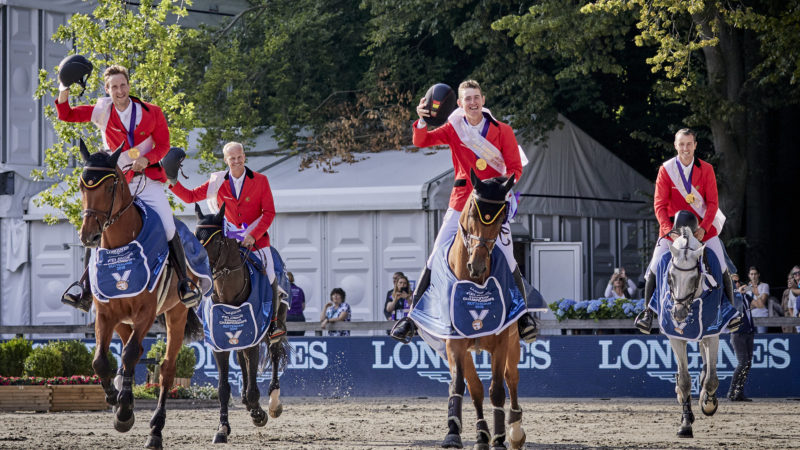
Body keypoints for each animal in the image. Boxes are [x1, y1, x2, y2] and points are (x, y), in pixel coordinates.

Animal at [77, 139, 203, 448]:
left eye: (109, 188)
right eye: (83, 187)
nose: (89, 236)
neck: (119, 247)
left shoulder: (146, 313)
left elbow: (132, 353)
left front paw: (124, 412)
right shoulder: (106, 314)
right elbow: (101, 361)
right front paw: (116, 401)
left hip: (176, 313)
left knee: (166, 369)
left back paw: (155, 430)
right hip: (123, 321)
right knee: (130, 355)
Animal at [194, 206, 290, 444]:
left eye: (217, 240)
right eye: (194, 237)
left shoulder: (253, 340)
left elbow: (254, 389)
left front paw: (259, 414)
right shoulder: (219, 345)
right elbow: (223, 389)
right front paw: (222, 429)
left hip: (275, 326)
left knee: (274, 354)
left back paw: (273, 403)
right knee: (242, 361)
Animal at [438, 171, 524, 448]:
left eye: (501, 219)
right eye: (472, 213)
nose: (476, 266)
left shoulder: (501, 342)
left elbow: (497, 390)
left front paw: (500, 438)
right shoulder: (454, 343)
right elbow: (459, 385)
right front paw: (453, 433)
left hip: (513, 344)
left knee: (512, 378)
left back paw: (514, 430)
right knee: (475, 387)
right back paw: (481, 435)